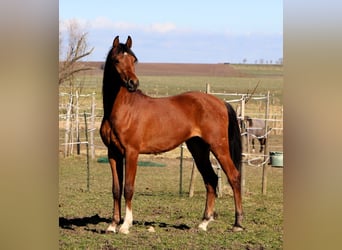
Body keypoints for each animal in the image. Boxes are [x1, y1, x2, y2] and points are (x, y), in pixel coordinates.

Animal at [99, 35, 243, 234]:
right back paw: (203, 223)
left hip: (219, 146)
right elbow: (116, 189)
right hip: (198, 149)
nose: (133, 83)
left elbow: (128, 188)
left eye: (134, 60)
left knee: (234, 176)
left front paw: (125, 225)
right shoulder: (113, 153)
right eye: (117, 60)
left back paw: (237, 223)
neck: (122, 110)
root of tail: (220, 102)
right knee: (211, 179)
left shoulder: (131, 153)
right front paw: (113, 225)